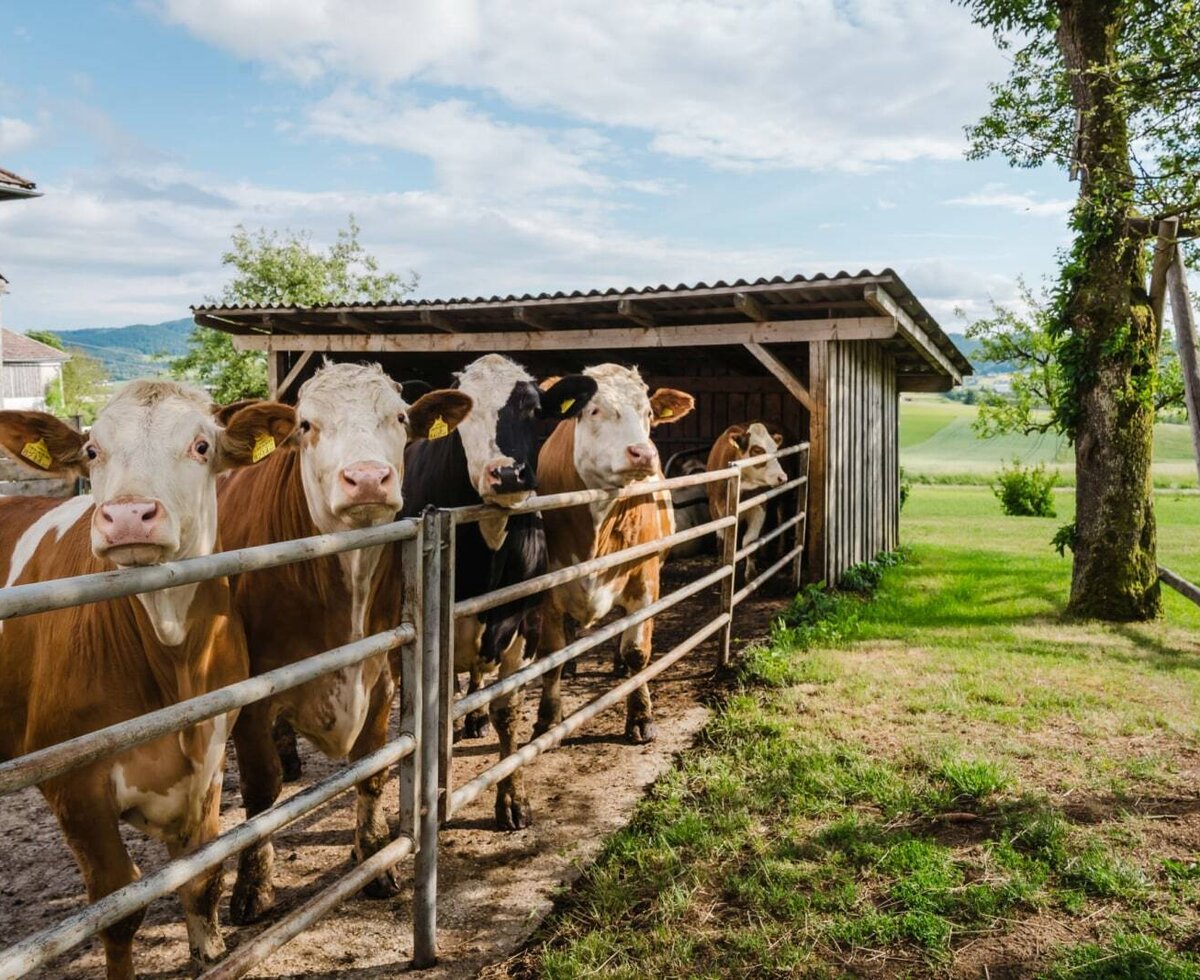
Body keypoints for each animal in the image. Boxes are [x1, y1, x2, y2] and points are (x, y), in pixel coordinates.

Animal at [0, 382, 295, 979]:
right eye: (93, 450)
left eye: (202, 446)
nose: (128, 516)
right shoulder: (74, 788)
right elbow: (118, 908)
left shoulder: (208, 758)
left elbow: (201, 878)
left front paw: (211, 952)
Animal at [216, 361, 471, 924]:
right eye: (306, 424)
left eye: (400, 417)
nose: (369, 478)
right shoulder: (250, 698)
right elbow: (259, 793)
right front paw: (252, 888)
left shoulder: (382, 675)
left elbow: (372, 769)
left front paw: (375, 859)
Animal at [401, 353, 596, 830]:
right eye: (462, 413)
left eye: (533, 409)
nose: (508, 473)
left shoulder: (524, 620)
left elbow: (507, 711)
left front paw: (512, 798)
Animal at [535, 364, 693, 746]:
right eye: (594, 410)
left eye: (648, 413)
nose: (643, 453)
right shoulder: (548, 589)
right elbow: (550, 655)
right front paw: (547, 719)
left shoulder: (646, 579)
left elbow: (637, 652)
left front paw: (641, 716)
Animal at [705, 422, 787, 574]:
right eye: (757, 450)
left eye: (775, 450)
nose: (782, 477)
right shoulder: (715, 509)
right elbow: (721, 541)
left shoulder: (759, 508)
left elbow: (749, 542)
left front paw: (751, 574)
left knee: (781, 519)